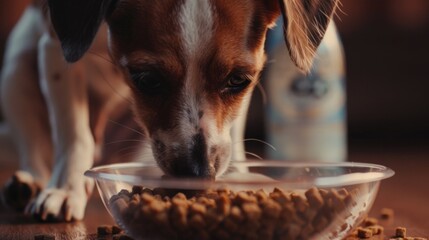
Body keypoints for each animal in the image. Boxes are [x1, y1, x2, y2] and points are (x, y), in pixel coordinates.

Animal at [0, 0, 338, 221]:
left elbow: (232, 138)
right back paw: (29, 184)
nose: (199, 174)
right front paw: (65, 189)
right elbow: (73, 133)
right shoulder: (56, 50)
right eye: (147, 80)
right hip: (15, 71)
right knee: (35, 148)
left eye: (238, 81)